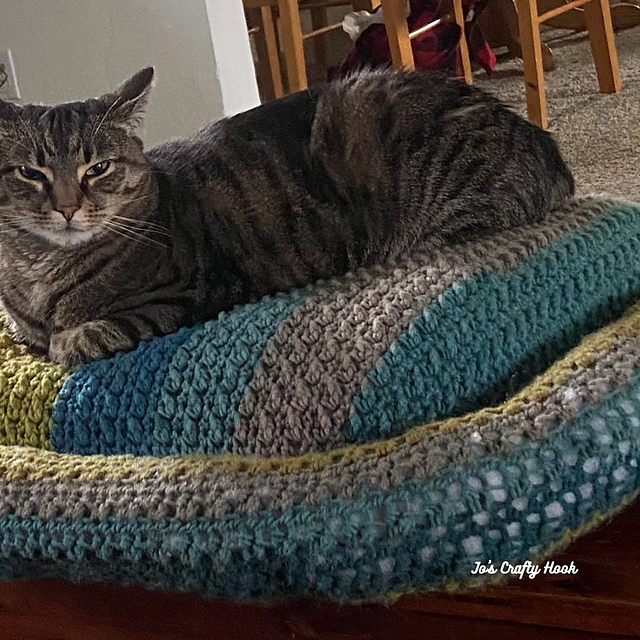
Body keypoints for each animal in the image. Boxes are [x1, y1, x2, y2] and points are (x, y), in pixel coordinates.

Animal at [0, 66, 574, 366]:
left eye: (98, 167)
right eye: (30, 173)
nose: (67, 207)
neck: (40, 272)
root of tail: (542, 143)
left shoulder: (187, 294)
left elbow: (93, 332)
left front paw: (71, 338)